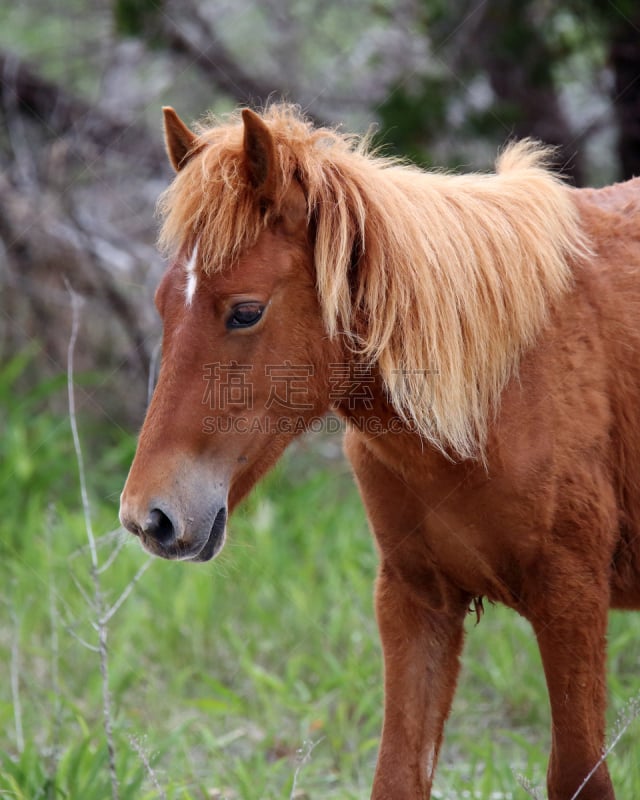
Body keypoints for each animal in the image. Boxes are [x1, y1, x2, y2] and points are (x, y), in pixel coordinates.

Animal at [121, 104, 640, 800]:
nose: (148, 517)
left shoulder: (571, 599)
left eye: (246, 311)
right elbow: (397, 776)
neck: (497, 387)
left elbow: (580, 772)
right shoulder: (416, 601)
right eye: (161, 304)